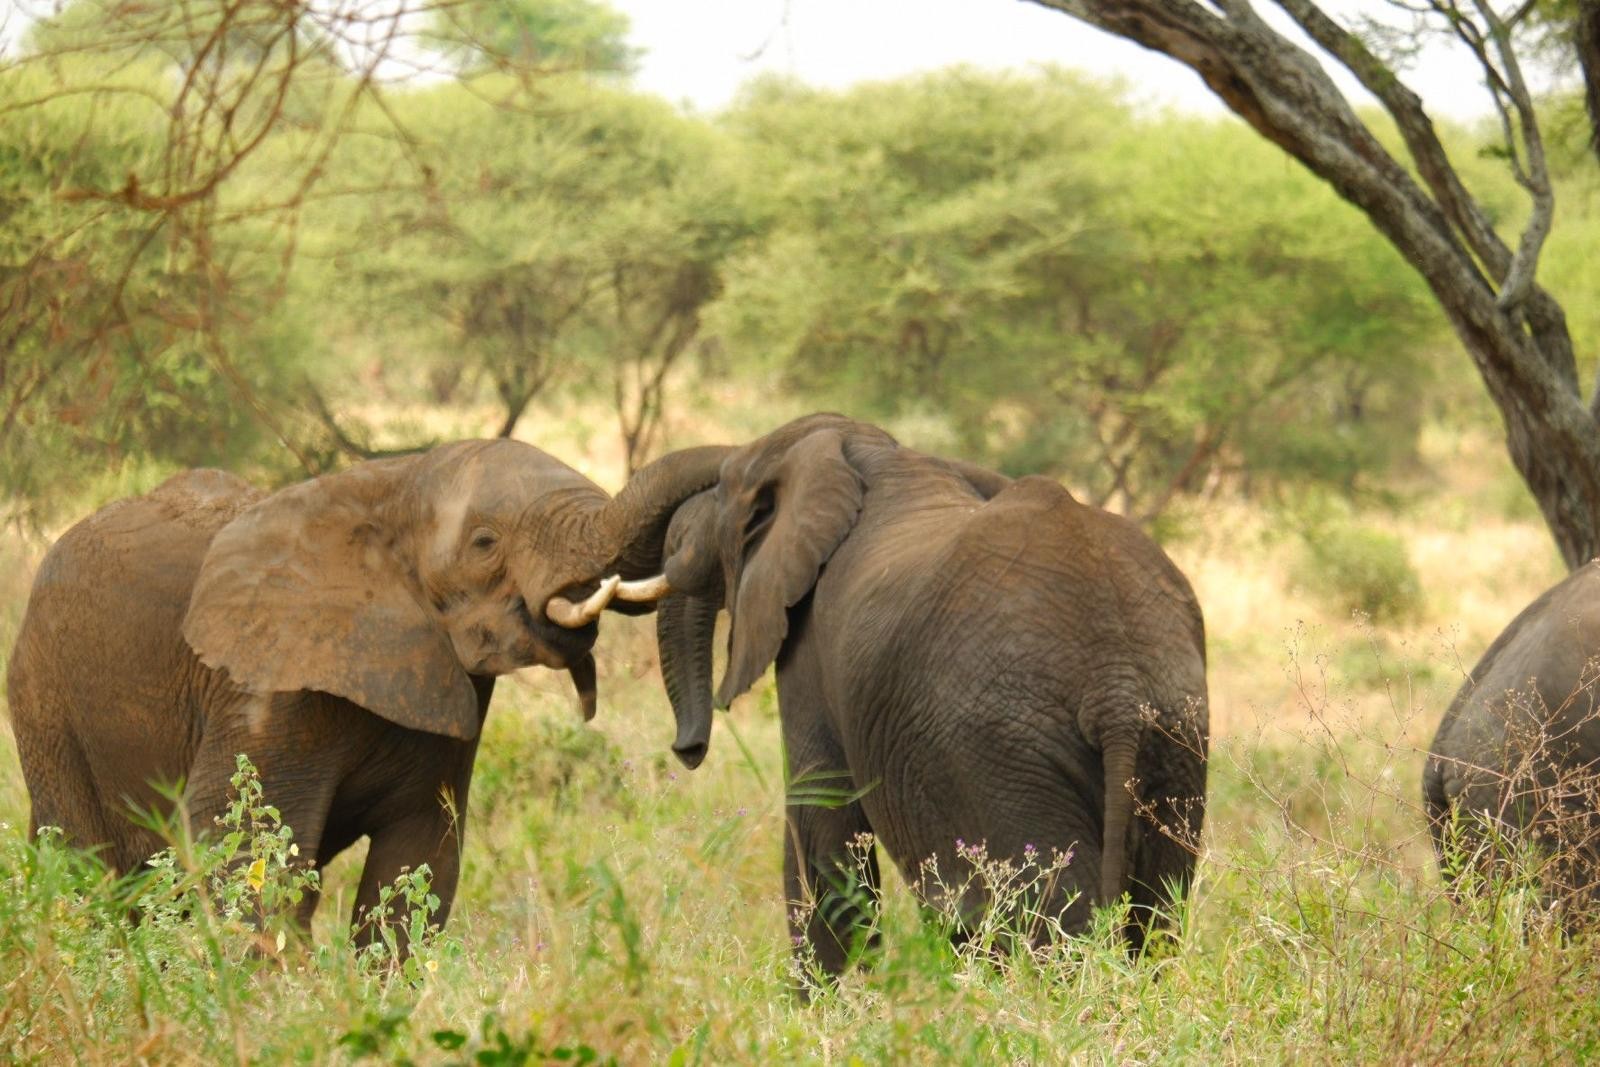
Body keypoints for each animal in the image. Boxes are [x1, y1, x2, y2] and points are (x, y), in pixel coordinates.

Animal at [6, 437, 724, 943]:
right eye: (485, 542)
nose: (688, 748)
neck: (392, 486)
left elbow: (419, 863)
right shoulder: (269, 679)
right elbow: (244, 850)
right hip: (43, 699)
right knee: (88, 868)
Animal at [637, 414, 1210, 978]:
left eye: (725, 488)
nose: (687, 750)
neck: (866, 451)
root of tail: (1118, 689)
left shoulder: (807, 651)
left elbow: (822, 826)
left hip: (1002, 757)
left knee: (1053, 923)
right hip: (1173, 742)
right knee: (1155, 914)